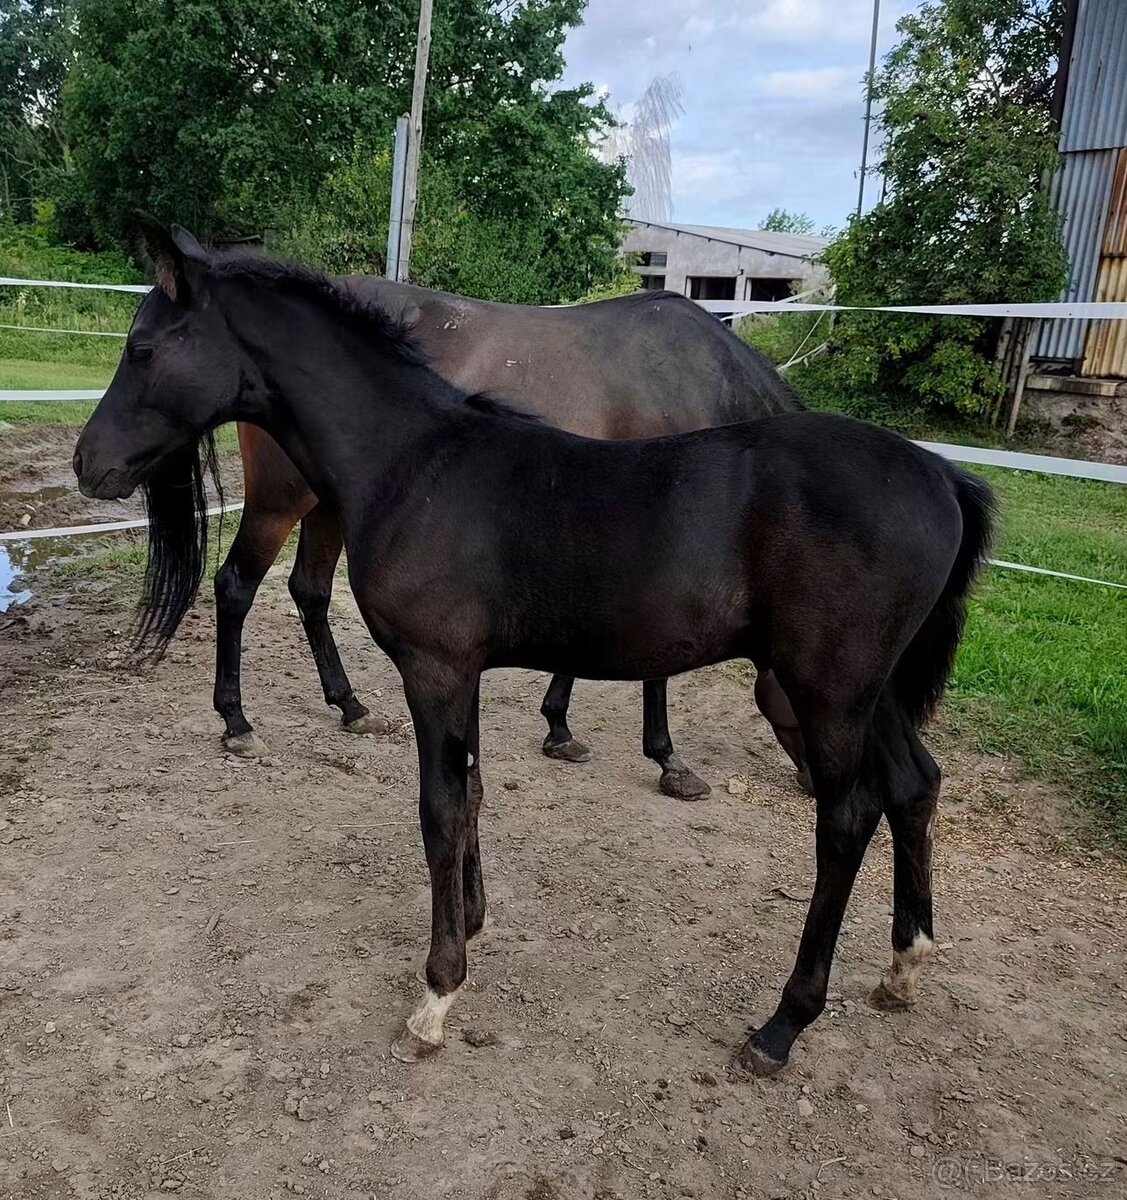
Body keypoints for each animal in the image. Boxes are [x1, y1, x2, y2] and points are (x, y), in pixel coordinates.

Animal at [178, 276, 807, 801]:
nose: (814, 781)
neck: (693, 380)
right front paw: (669, 761)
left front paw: (560, 728)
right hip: (278, 502)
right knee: (235, 587)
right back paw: (237, 723)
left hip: (328, 506)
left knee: (310, 590)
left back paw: (350, 705)